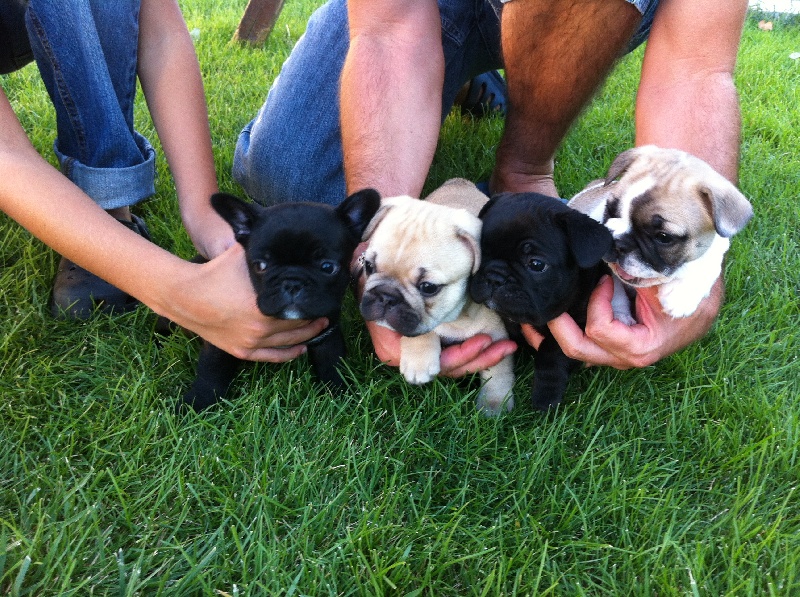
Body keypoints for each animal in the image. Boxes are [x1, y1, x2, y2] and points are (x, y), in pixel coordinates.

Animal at [181, 189, 382, 412]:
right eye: (260, 266)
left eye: (328, 267)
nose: (292, 283)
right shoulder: (223, 337)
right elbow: (212, 370)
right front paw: (197, 403)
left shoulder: (327, 335)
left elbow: (332, 364)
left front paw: (340, 396)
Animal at [468, 191, 612, 410]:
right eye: (480, 252)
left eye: (536, 264)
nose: (494, 277)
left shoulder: (579, 327)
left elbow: (552, 351)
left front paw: (546, 397)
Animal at [568, 146, 752, 322]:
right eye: (610, 210)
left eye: (664, 237)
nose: (617, 242)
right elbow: (616, 289)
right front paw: (619, 314)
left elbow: (707, 266)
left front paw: (681, 294)